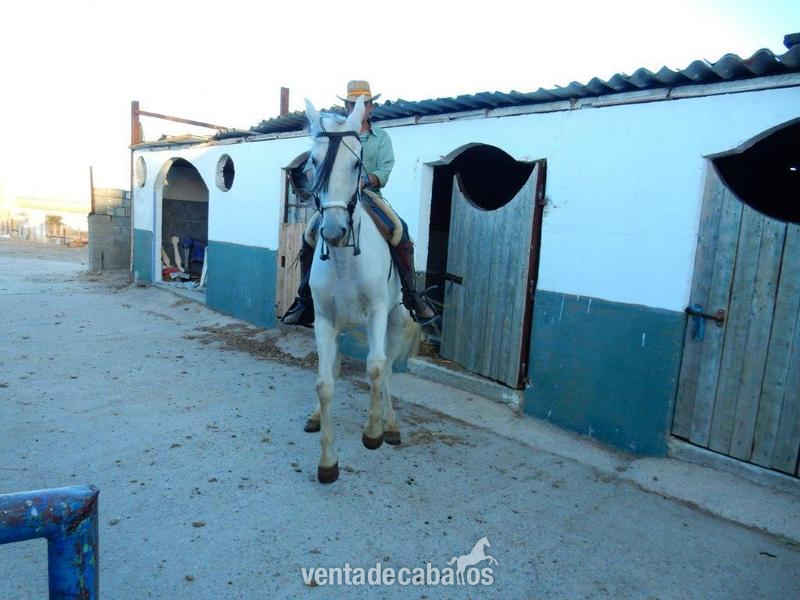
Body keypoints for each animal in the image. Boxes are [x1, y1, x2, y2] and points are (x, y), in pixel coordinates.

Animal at [302, 97, 418, 484]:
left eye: (357, 163)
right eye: (313, 162)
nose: (333, 231)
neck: (344, 261)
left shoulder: (378, 314)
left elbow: (377, 370)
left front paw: (373, 432)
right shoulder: (324, 321)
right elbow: (325, 382)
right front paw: (327, 461)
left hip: (395, 322)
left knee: (388, 373)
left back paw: (391, 425)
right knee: (337, 369)